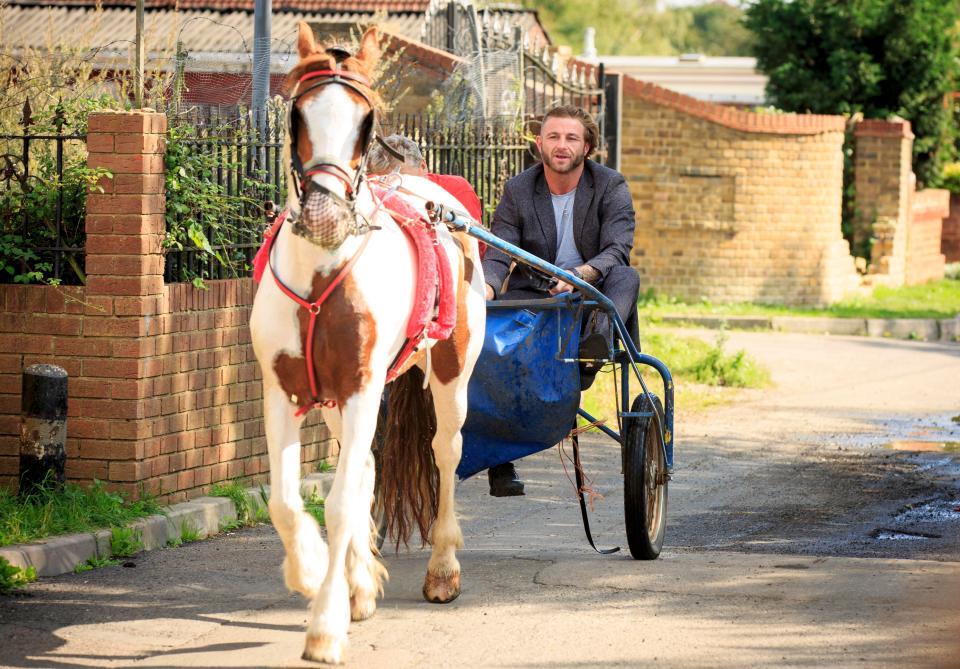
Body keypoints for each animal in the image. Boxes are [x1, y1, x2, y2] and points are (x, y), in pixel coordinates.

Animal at [249, 20, 488, 664]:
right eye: (298, 113)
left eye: (366, 120)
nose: (324, 214)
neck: (321, 271)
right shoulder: (285, 390)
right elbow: (287, 499)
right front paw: (314, 571)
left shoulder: (362, 386)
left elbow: (336, 501)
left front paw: (325, 626)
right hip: (337, 399)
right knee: (365, 471)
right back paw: (357, 580)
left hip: (451, 373)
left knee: (446, 452)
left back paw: (443, 569)